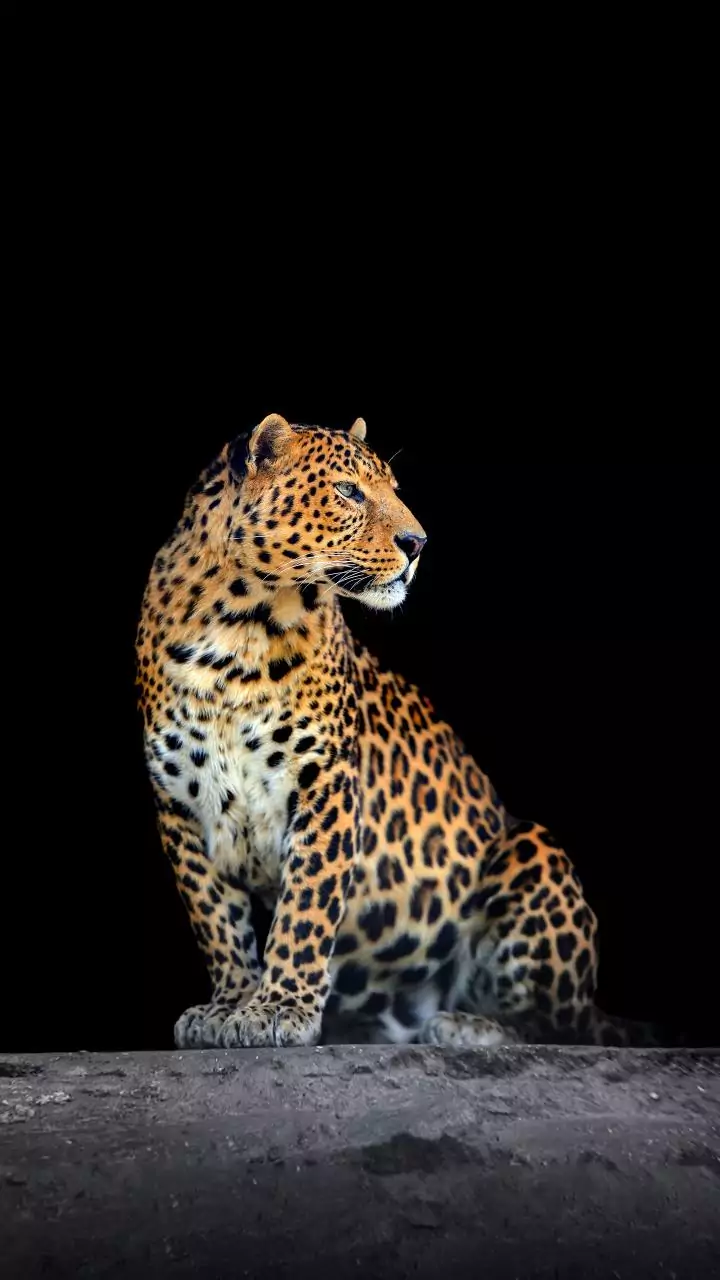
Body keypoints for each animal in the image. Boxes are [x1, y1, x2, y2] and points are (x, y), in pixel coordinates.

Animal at [136, 413, 662, 1050]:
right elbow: (215, 917)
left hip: (534, 851)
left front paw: (280, 1009)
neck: (236, 627)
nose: (418, 544)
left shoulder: (326, 783)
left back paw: (468, 1025)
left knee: (560, 1026)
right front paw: (231, 1004)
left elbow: (305, 908)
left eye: (391, 487)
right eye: (347, 491)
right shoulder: (179, 805)